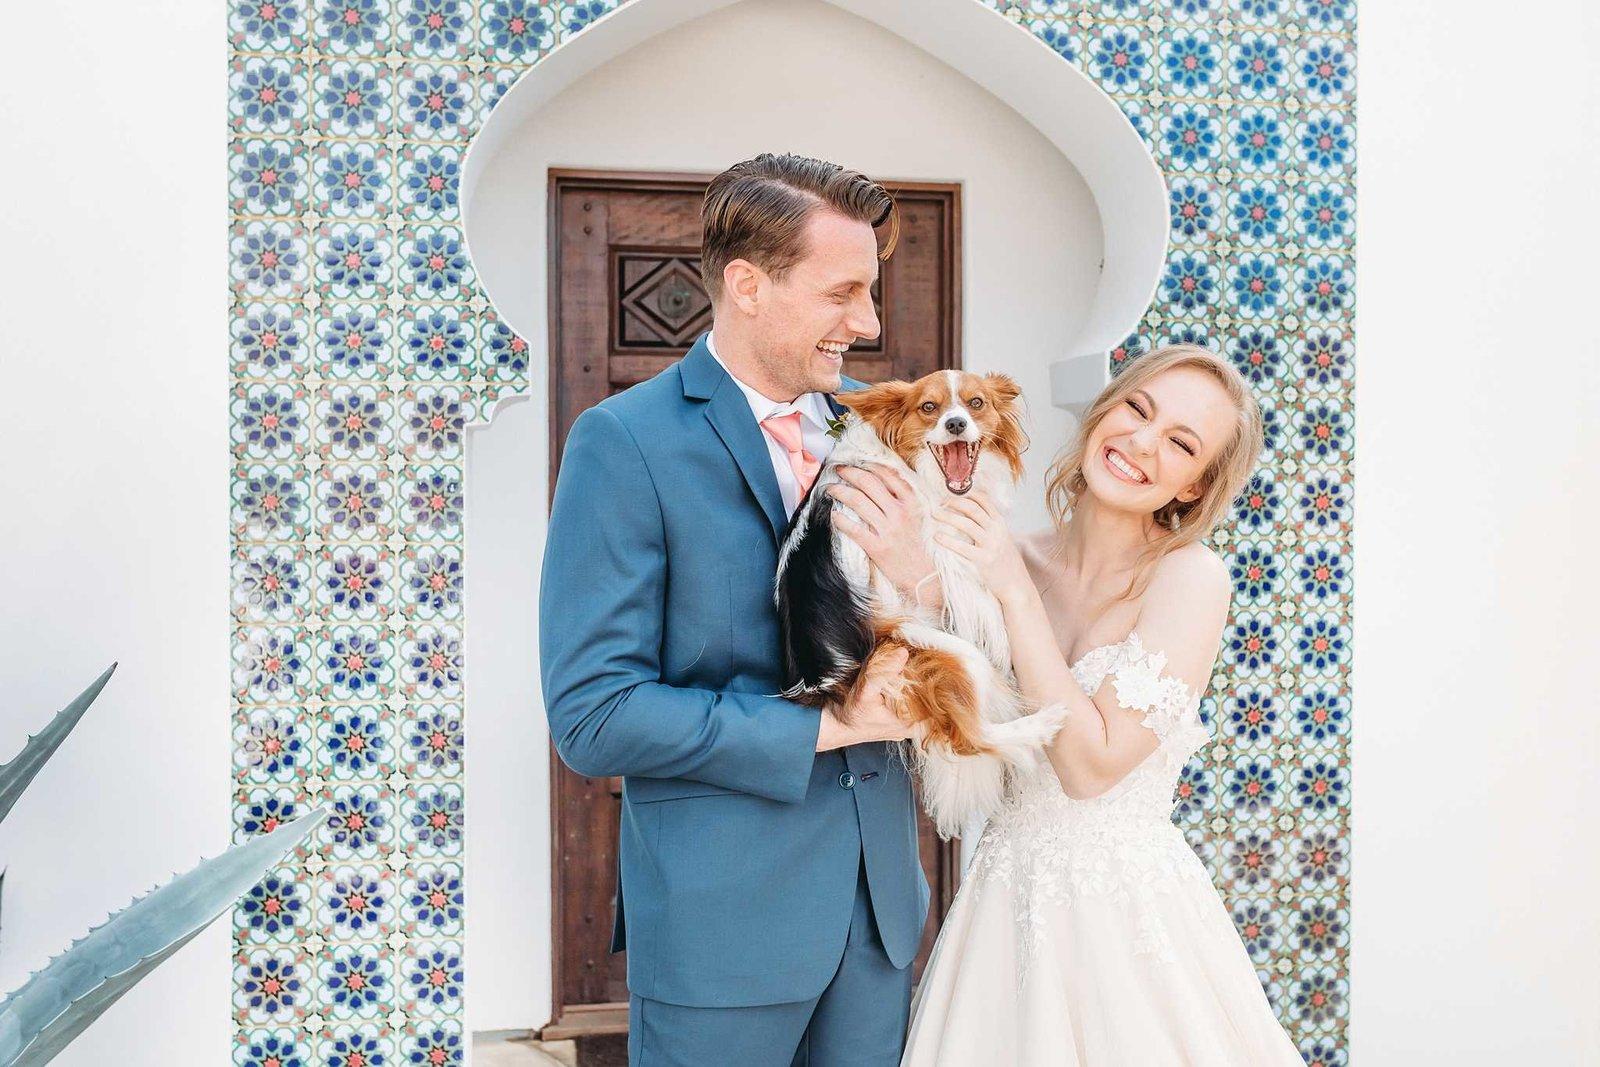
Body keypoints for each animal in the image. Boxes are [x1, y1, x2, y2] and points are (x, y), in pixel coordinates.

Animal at [775, 369, 1069, 838]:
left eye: (976, 403)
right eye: (929, 407)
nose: (956, 423)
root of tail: (822, 681)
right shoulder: (941, 544)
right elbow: (976, 591)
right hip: (941, 649)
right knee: (970, 738)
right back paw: (1037, 728)